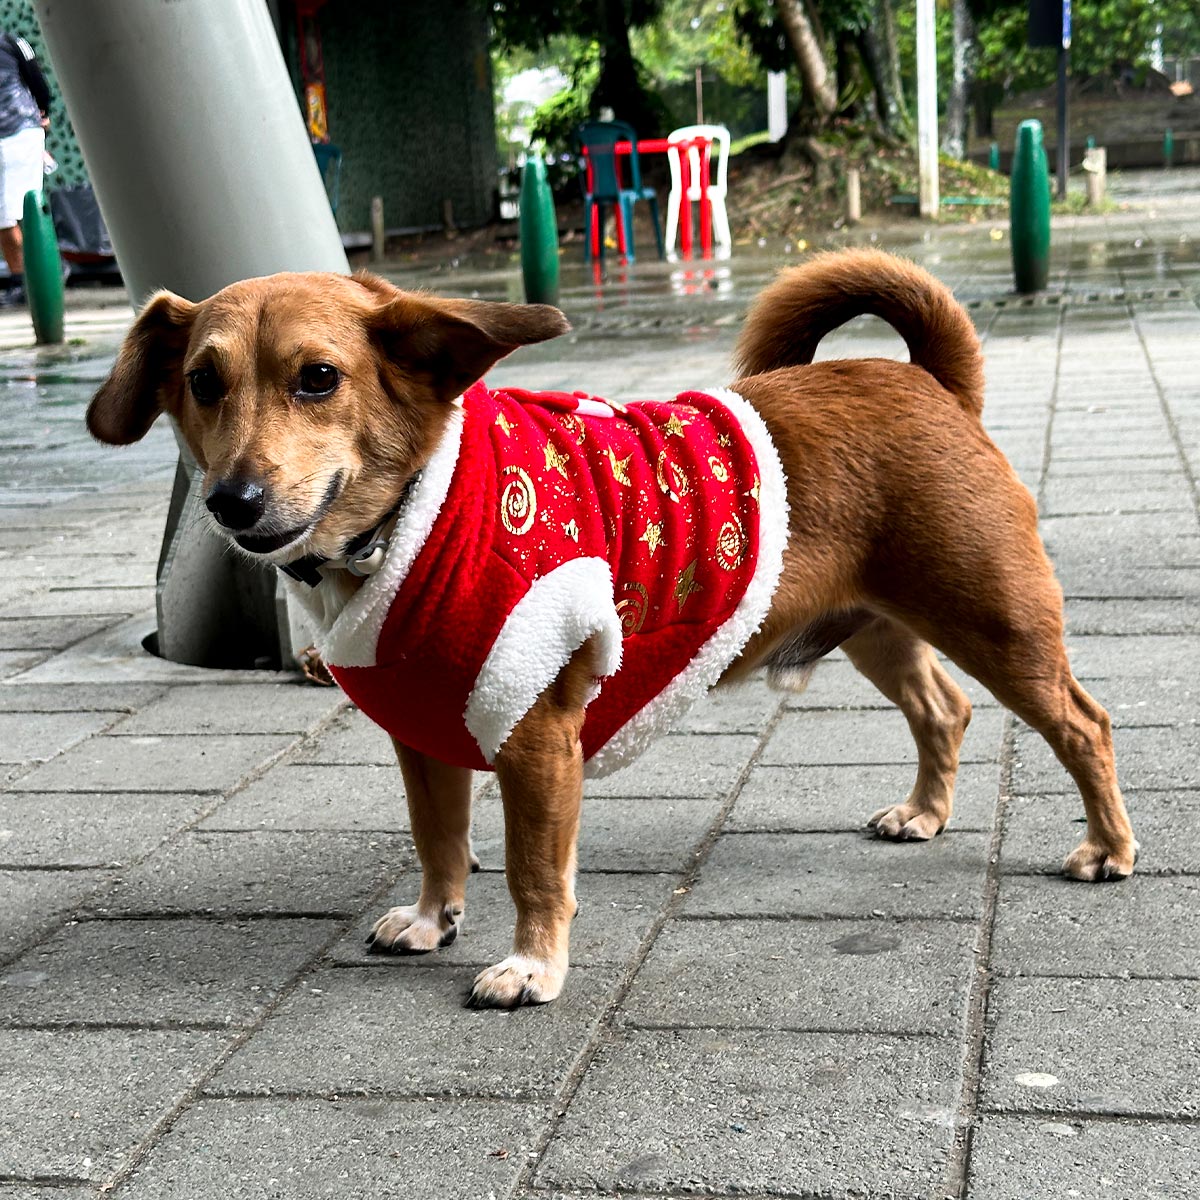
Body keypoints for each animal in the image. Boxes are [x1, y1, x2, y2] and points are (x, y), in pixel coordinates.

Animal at [88, 248, 1137, 1008]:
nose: (230, 500)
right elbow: (437, 841)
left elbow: (535, 874)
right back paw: (925, 812)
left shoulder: (536, 741)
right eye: (202, 383)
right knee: (942, 710)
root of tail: (932, 383)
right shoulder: (420, 739)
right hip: (877, 628)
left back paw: (1108, 849)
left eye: (316, 379)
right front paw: (433, 918)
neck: (413, 521)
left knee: (1082, 725)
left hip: (996, 625)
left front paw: (532, 966)